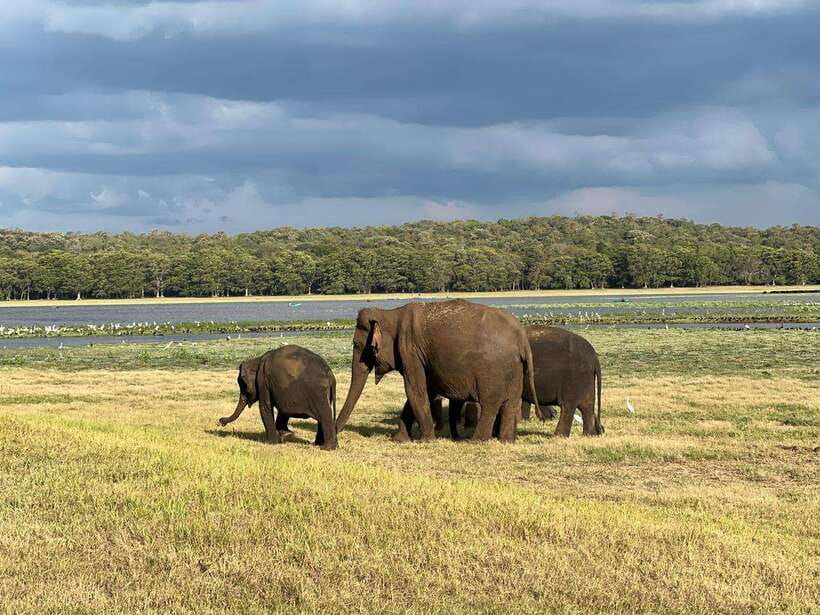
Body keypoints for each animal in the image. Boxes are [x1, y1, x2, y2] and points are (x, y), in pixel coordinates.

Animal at [335, 299, 540, 443]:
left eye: (356, 344)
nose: (336, 433)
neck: (391, 313)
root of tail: (521, 337)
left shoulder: (409, 350)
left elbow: (415, 390)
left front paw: (427, 440)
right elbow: (424, 390)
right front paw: (399, 439)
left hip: (492, 370)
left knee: (490, 404)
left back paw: (476, 441)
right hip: (516, 369)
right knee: (510, 403)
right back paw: (506, 441)